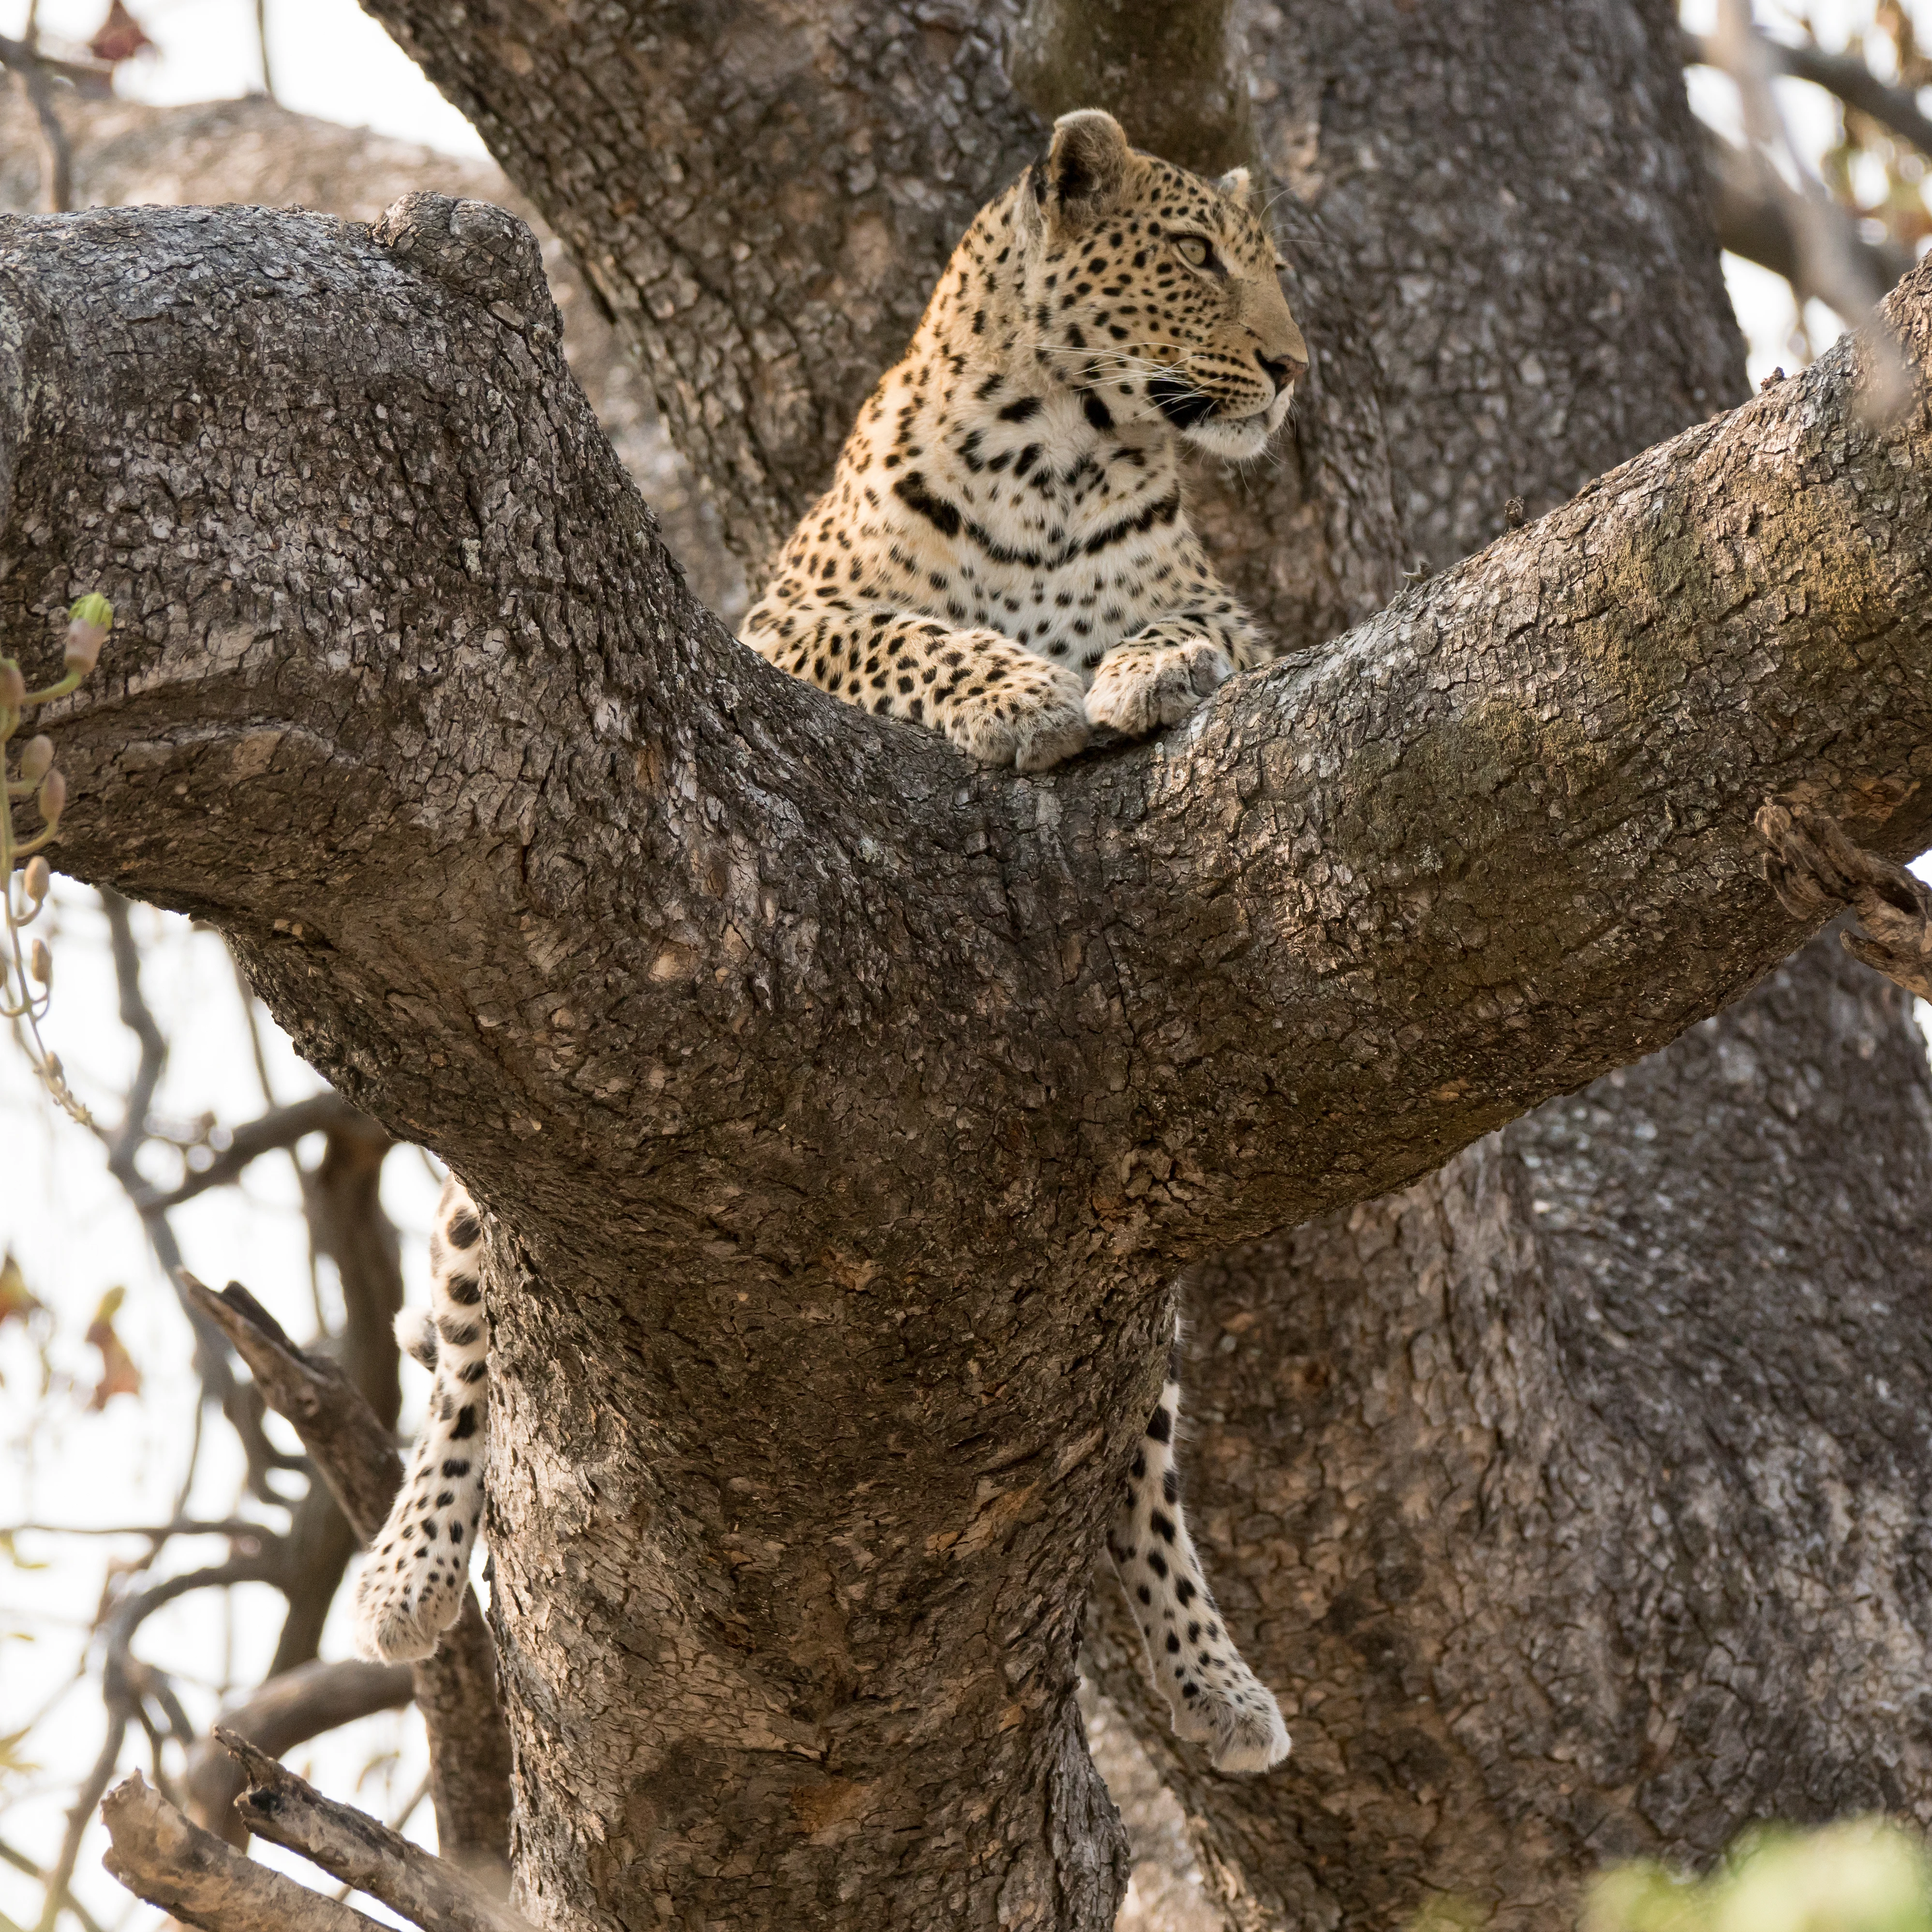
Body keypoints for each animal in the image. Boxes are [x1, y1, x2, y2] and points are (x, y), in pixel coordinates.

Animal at [353, 110, 1298, 1776]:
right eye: (1195, 255)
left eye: (1260, 264)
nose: (1295, 366)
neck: (1061, 461)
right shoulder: (788, 631)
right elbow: (908, 637)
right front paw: (1015, 690)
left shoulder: (1243, 614)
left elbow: (1203, 627)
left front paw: (1146, 667)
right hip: (480, 1210)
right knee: (466, 1352)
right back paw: (407, 1571)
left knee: (1137, 1450)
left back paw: (1208, 1677)